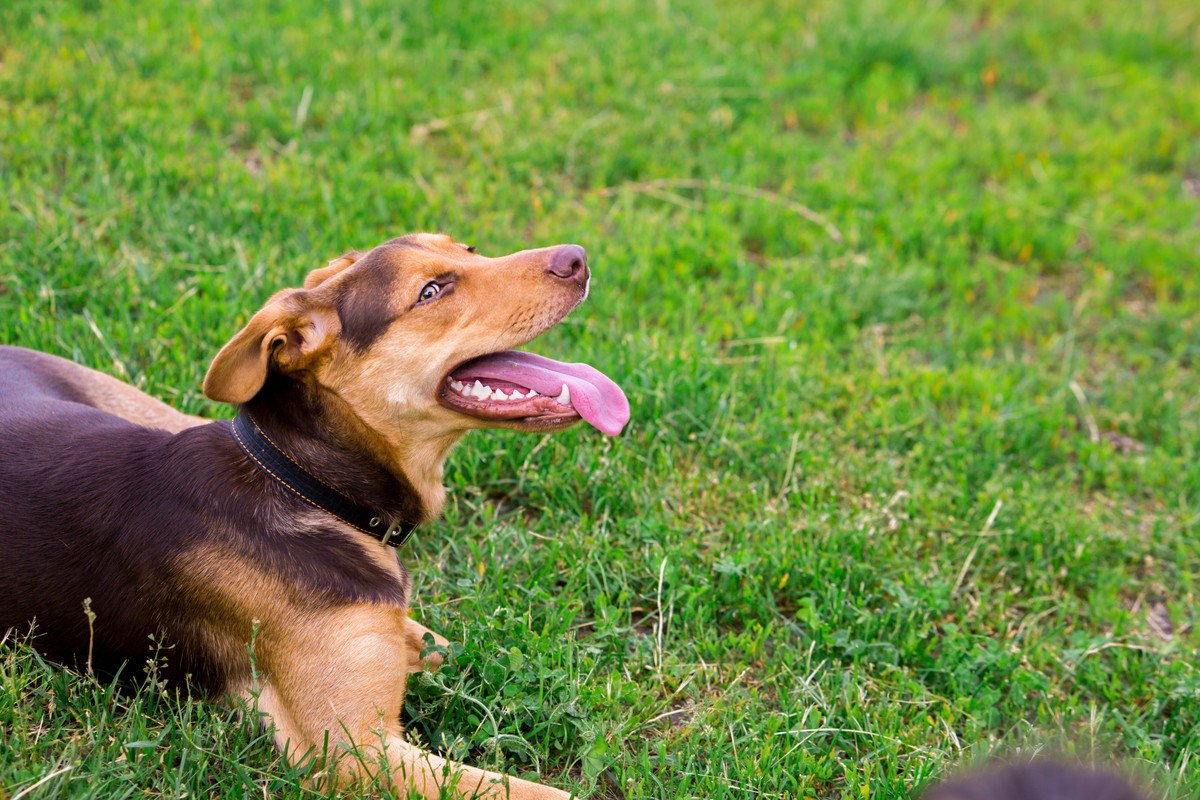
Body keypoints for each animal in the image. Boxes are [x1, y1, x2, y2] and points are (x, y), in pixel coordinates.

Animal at [0, 232, 628, 800]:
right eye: (430, 291)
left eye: (467, 250)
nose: (578, 257)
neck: (308, 486)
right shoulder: (356, 752)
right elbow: (547, 794)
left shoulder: (393, 639)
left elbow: (448, 644)